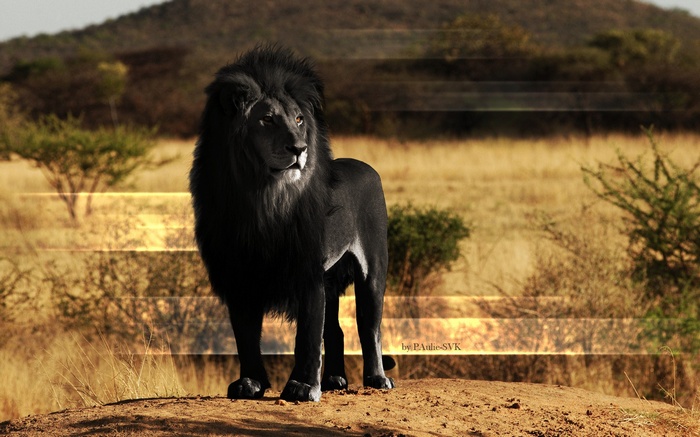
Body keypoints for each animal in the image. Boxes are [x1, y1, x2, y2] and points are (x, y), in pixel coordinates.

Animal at [189, 46, 395, 402]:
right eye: (267, 119)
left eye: (299, 119)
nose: (300, 148)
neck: (262, 198)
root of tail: (366, 166)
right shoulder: (238, 274)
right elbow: (245, 335)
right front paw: (250, 384)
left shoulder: (307, 270)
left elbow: (307, 336)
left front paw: (302, 387)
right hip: (331, 279)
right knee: (336, 330)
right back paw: (335, 380)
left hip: (372, 267)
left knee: (370, 326)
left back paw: (376, 379)